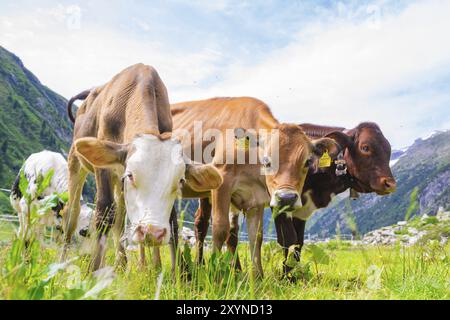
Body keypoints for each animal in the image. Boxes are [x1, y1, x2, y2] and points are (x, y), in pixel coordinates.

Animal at [171, 97, 340, 278]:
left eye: (307, 162)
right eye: (267, 160)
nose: (286, 198)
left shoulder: (255, 199)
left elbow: (256, 236)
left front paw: (258, 276)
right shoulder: (222, 183)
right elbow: (220, 229)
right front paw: (215, 274)